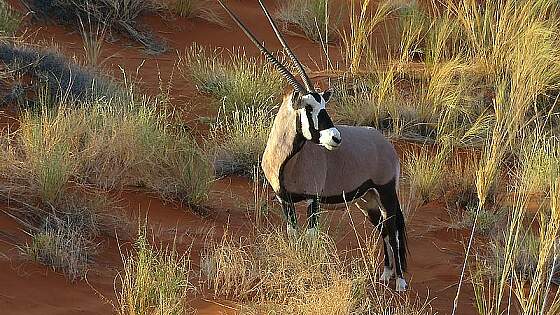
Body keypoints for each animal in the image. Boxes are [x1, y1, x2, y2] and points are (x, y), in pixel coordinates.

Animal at [218, 0, 406, 292]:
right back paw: (385, 274)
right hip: (368, 199)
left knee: (393, 228)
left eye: (324, 105)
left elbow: (311, 237)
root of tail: (385, 144)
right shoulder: (284, 200)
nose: (336, 138)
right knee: (383, 229)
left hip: (386, 191)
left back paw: (400, 282)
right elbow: (293, 235)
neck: (286, 161)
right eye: (308, 107)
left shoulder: (314, 201)